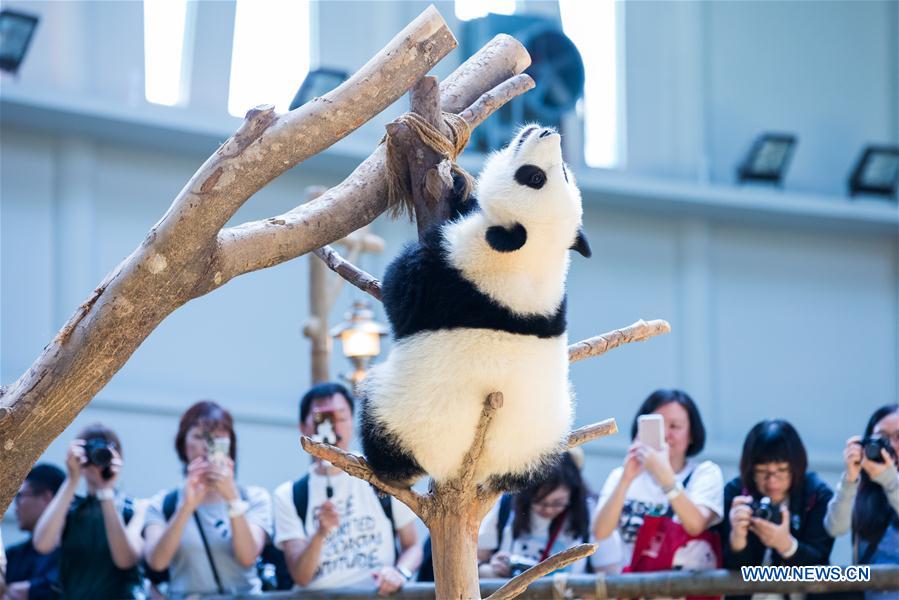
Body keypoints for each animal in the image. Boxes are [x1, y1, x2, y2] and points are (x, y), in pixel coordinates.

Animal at [359, 124, 591, 491]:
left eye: (533, 177)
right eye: (563, 175)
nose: (546, 131)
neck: (531, 256)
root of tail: (476, 465)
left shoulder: (456, 279)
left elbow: (401, 291)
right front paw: (458, 186)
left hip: (407, 414)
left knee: (378, 419)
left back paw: (387, 472)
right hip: (546, 434)